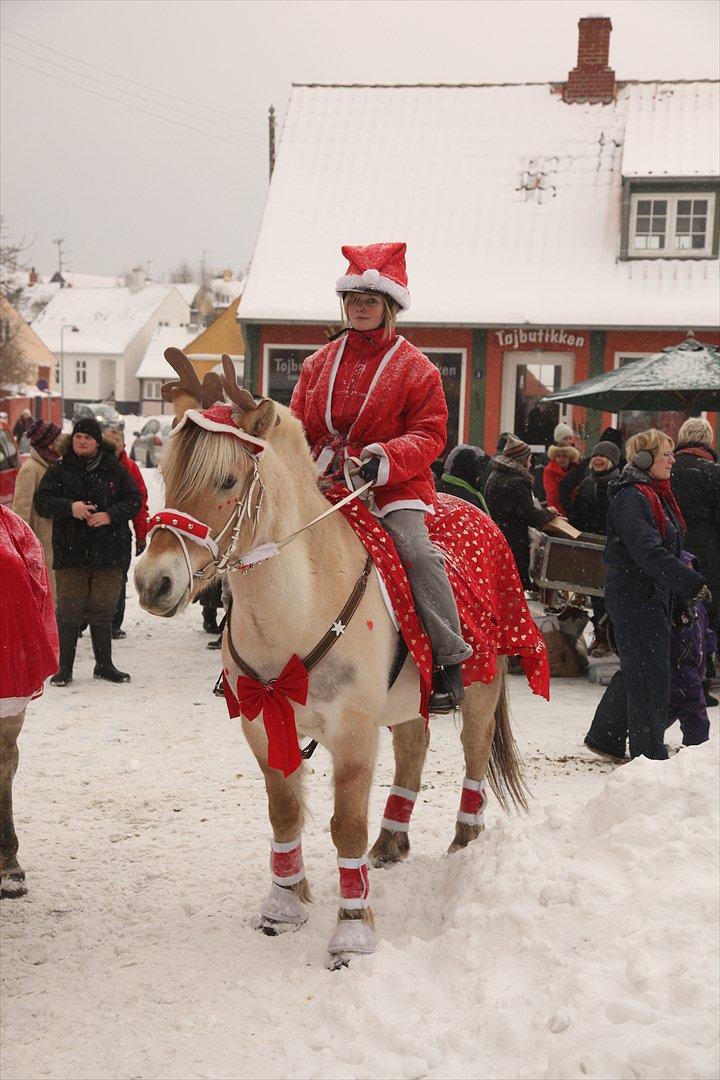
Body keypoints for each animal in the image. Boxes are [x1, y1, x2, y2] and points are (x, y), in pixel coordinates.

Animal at [134, 354, 528, 972]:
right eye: (168, 472)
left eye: (227, 481)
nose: (154, 583)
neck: (295, 609)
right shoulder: (263, 724)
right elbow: (284, 812)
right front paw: (284, 903)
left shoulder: (352, 731)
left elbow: (345, 827)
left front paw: (352, 932)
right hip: (409, 699)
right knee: (413, 746)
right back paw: (392, 839)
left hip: (482, 688)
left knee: (473, 754)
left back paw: (465, 837)